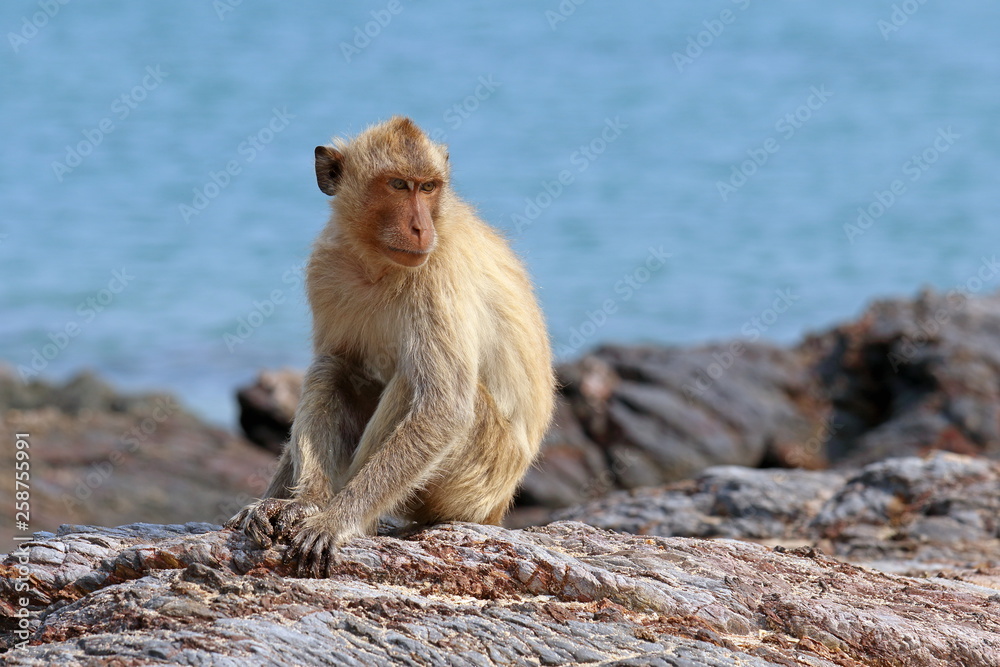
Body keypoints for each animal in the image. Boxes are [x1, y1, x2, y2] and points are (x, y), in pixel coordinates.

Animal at [226, 116, 555, 576]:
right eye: (399, 185)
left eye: (428, 187)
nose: (420, 228)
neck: (377, 263)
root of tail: (500, 507)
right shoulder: (325, 267)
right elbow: (334, 361)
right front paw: (283, 503)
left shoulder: (437, 274)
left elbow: (444, 407)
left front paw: (334, 520)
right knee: (332, 369)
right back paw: (308, 500)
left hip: (480, 477)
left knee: (413, 386)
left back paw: (346, 515)